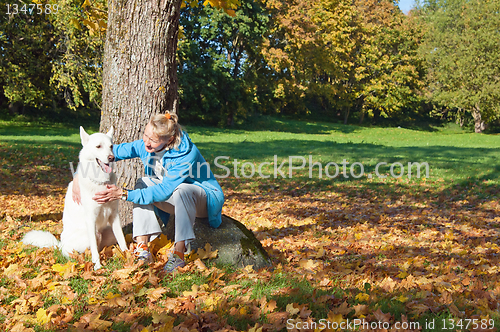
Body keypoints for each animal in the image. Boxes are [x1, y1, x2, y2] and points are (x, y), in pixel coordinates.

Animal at [23, 127, 129, 270]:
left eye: (111, 146)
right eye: (98, 146)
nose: (111, 158)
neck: (100, 182)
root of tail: (59, 244)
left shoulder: (114, 216)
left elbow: (122, 241)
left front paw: (129, 257)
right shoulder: (90, 219)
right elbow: (94, 248)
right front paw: (97, 266)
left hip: (108, 233)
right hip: (92, 235)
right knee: (73, 251)